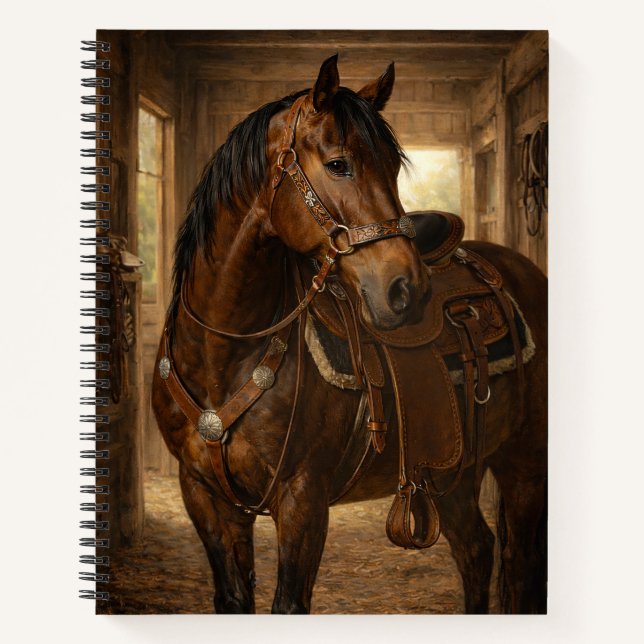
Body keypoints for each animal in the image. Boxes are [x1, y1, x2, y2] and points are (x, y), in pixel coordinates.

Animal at [151, 54, 547, 614]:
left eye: (393, 167)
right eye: (339, 164)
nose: (408, 290)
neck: (225, 351)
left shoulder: (302, 498)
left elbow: (288, 603)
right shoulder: (205, 496)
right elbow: (232, 597)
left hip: (525, 465)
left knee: (522, 566)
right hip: (456, 471)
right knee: (477, 550)